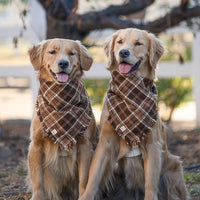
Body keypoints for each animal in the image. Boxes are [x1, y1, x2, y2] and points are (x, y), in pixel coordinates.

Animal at [27, 38, 98, 199]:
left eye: (72, 53)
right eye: (52, 52)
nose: (63, 63)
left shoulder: (85, 145)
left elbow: (84, 179)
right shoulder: (36, 144)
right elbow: (38, 180)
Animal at [79, 28, 188, 200]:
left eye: (138, 43)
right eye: (120, 42)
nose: (123, 52)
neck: (130, 92)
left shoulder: (152, 144)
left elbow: (150, 183)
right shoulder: (106, 141)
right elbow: (94, 175)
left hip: (173, 167)